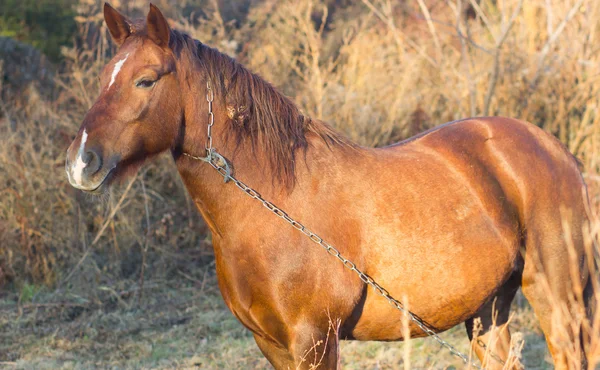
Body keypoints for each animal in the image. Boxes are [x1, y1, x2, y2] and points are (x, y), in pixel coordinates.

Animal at [67, 3, 596, 370]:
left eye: (146, 80)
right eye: (105, 77)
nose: (80, 162)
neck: (276, 204)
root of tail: (555, 150)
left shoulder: (315, 341)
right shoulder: (272, 344)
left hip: (556, 296)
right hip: (489, 311)